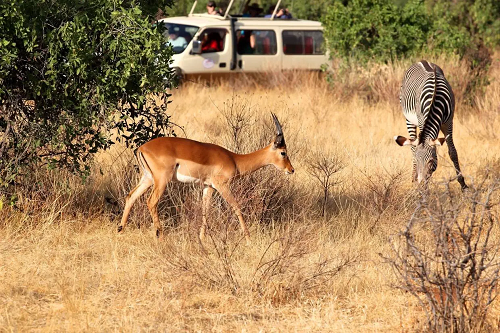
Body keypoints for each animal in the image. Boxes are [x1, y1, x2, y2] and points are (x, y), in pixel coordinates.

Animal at [394, 59, 468, 189]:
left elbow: (453, 152)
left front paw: (463, 184)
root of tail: (421, 60)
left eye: (431, 162)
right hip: (408, 120)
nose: (421, 186)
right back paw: (413, 179)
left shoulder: (448, 122)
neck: (435, 97)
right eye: (418, 161)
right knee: (412, 146)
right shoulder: (421, 120)